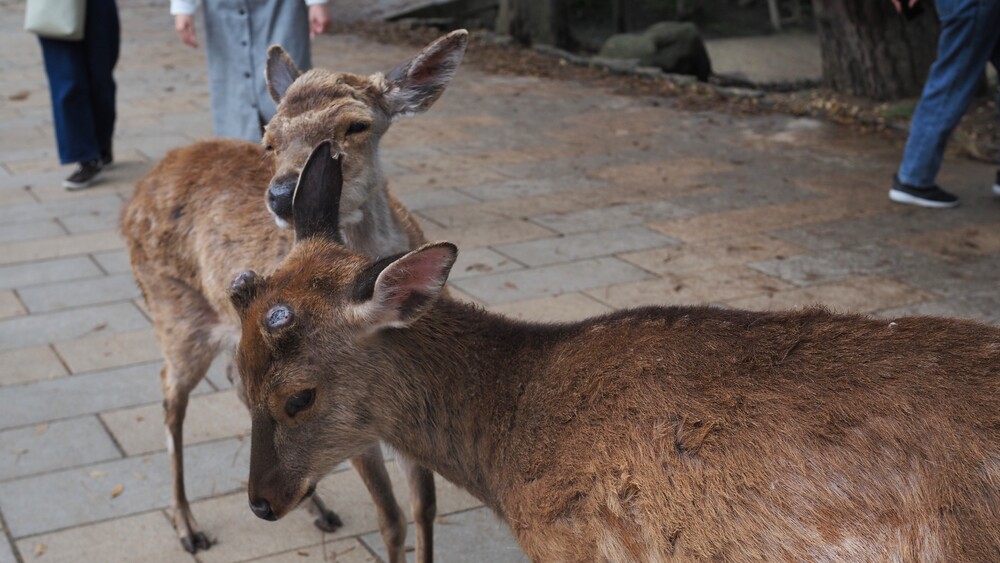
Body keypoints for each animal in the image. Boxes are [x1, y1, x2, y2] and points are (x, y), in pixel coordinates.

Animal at [119, 32, 470, 560]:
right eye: (270, 138)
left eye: (357, 125)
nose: (284, 195)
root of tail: (141, 188)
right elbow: (391, 519)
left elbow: (425, 509)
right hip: (174, 314)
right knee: (169, 394)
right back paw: (187, 526)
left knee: (236, 380)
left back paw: (316, 508)